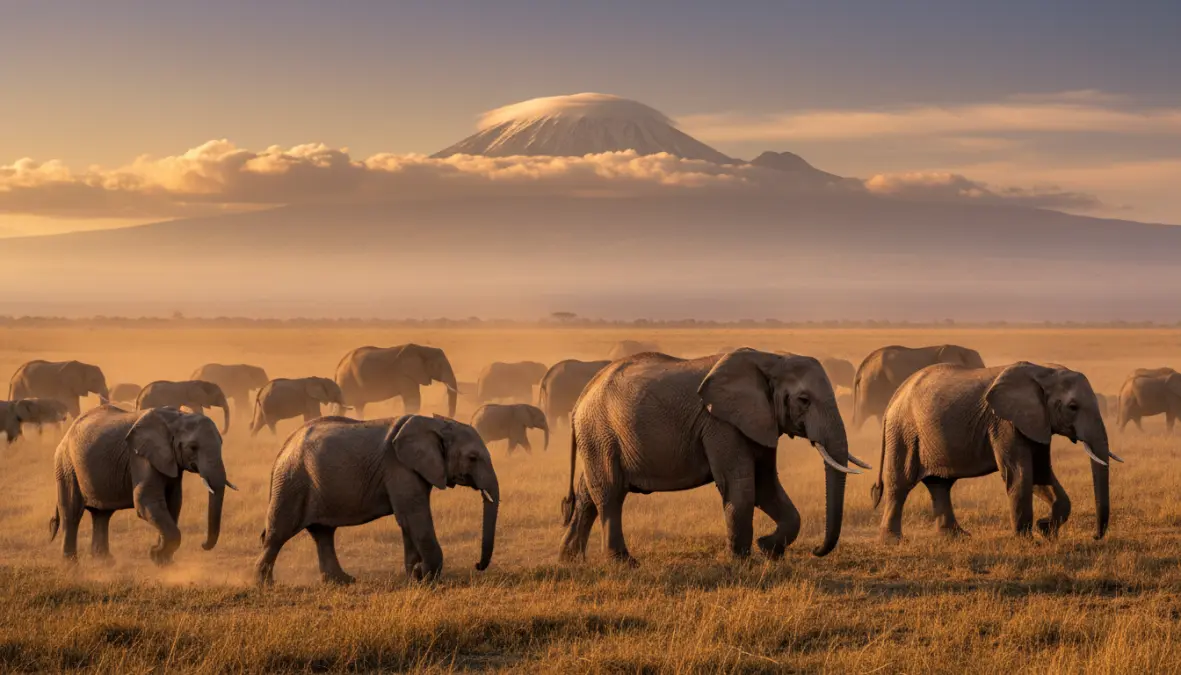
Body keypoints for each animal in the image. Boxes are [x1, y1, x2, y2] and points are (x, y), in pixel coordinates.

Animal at [50, 405, 235, 563]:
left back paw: (104, 563)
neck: (177, 418)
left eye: (221, 444)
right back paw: (71, 564)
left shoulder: (169, 460)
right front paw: (156, 554)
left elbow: (174, 502)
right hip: (66, 464)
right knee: (71, 512)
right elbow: (146, 500)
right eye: (193, 447)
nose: (203, 544)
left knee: (102, 515)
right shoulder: (140, 455)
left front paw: (162, 560)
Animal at [255, 414, 499, 585]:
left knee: (323, 533)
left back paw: (343, 582)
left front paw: (415, 577)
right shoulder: (399, 467)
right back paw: (266, 585)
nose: (477, 565)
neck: (437, 424)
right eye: (472, 458)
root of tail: (284, 447)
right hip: (291, 481)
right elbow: (414, 517)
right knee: (278, 533)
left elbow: (407, 521)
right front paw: (426, 578)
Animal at [560, 349, 868, 565]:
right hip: (600, 432)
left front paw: (768, 549)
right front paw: (744, 562)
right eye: (804, 400)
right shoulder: (720, 423)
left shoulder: (760, 421)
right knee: (610, 492)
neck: (771, 358)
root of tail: (580, 399)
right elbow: (741, 485)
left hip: (597, 437)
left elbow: (766, 486)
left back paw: (570, 560)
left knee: (588, 494)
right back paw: (624, 563)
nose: (816, 550)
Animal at [872, 362, 1119, 542]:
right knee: (900, 483)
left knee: (940, 484)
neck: (1045, 371)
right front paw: (1028, 541)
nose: (1095, 536)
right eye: (1073, 407)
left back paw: (956, 536)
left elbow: (1041, 474)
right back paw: (893, 540)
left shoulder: (1038, 422)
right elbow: (1021, 473)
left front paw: (1046, 530)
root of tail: (895, 395)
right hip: (903, 431)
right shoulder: (1004, 423)